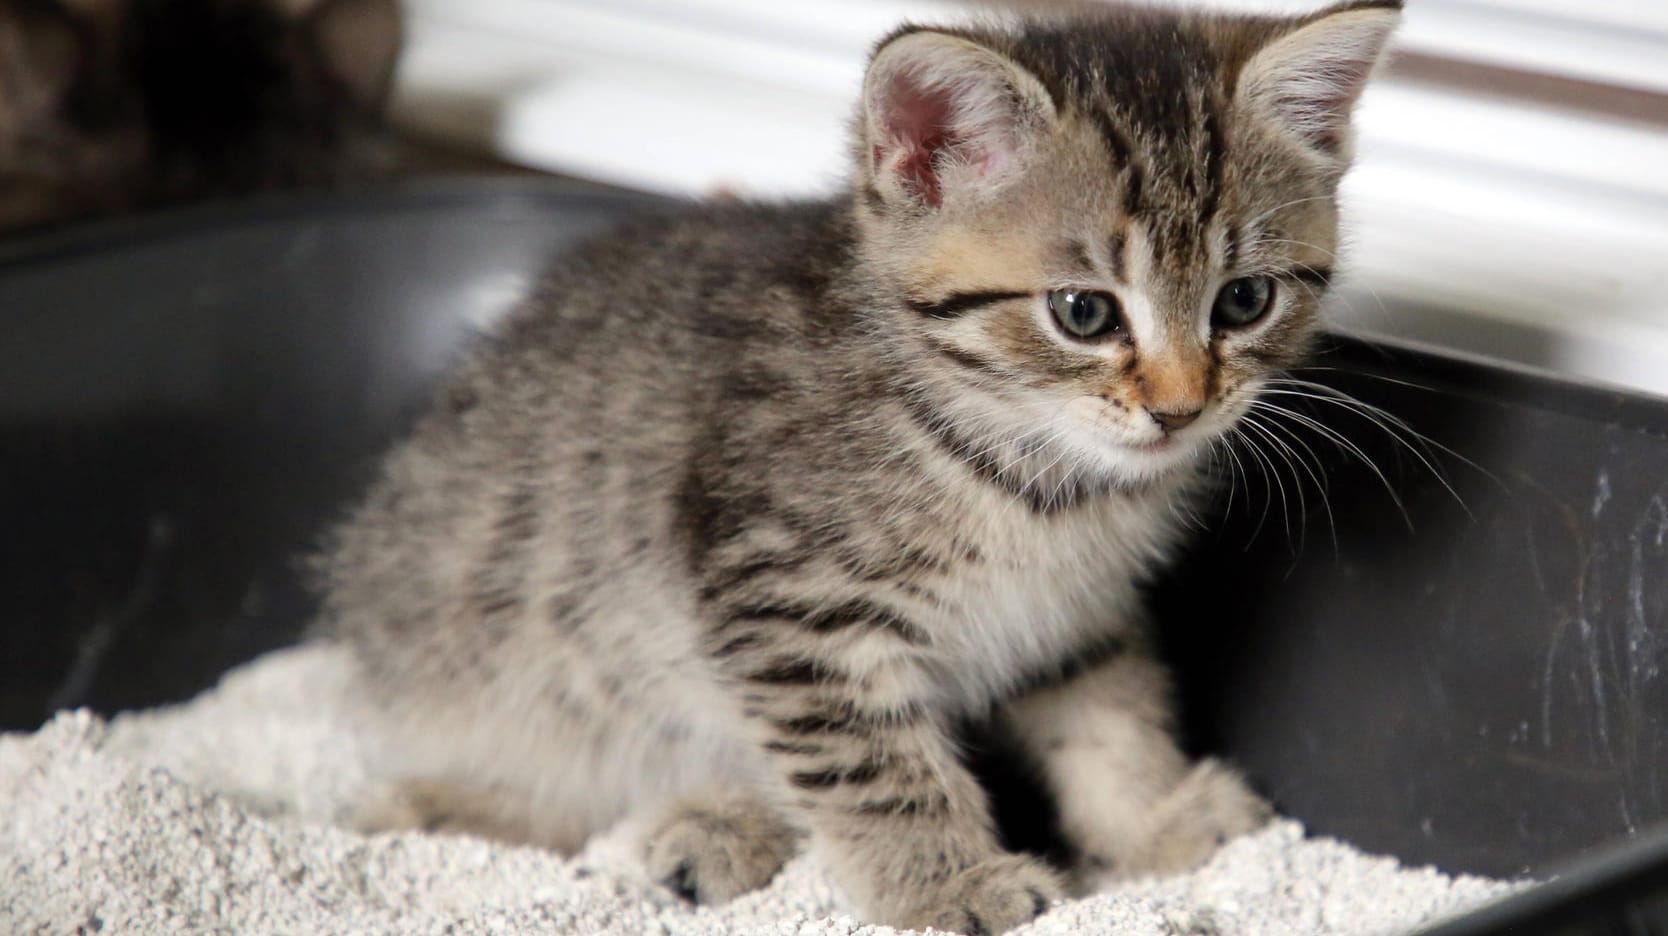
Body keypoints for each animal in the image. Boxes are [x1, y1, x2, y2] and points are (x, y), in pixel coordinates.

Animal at [318, 3, 1401, 927]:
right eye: (1083, 312)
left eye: (1245, 300)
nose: (1180, 407)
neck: (1025, 471)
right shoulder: (796, 607)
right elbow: (877, 769)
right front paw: (953, 885)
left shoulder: (1075, 614)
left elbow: (1110, 718)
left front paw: (1155, 822)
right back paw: (443, 804)